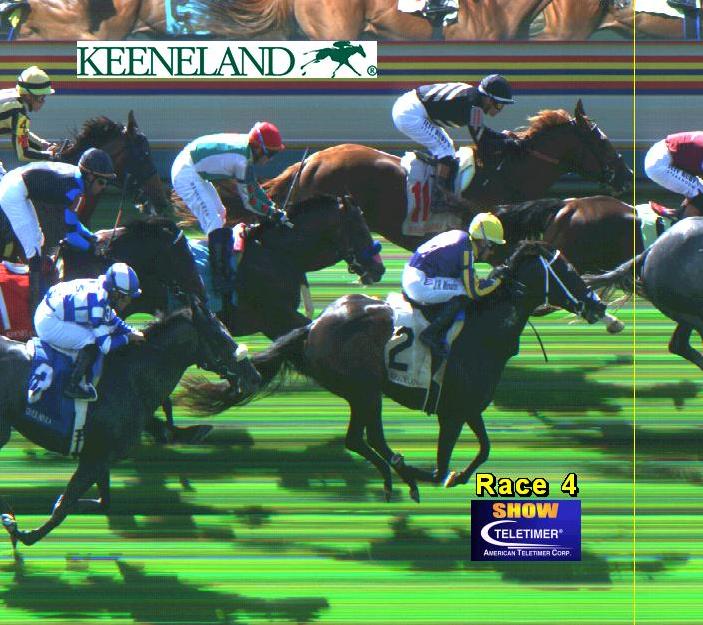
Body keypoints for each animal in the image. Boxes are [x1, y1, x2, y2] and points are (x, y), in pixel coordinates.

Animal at [0, 296, 261, 547]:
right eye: (221, 337)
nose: (255, 377)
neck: (132, 378)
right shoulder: (95, 457)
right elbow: (64, 506)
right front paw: (20, 531)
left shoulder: (100, 456)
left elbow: (94, 502)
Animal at [183, 241, 606, 500]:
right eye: (567, 270)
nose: (597, 304)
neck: (484, 331)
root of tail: (314, 326)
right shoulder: (452, 413)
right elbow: (442, 465)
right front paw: (433, 475)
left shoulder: (469, 407)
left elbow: (484, 449)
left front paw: (459, 476)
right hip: (366, 390)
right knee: (368, 438)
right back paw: (402, 472)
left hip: (362, 393)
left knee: (358, 439)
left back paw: (391, 477)